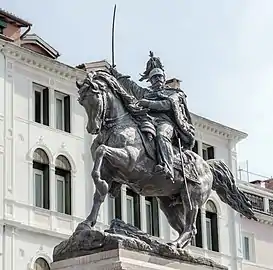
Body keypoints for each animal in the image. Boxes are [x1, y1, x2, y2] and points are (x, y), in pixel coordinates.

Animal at [76, 70, 255, 248]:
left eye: (95, 97)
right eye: (81, 101)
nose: (92, 128)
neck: (119, 125)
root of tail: (207, 166)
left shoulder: (129, 159)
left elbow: (101, 151)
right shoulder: (108, 170)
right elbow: (98, 194)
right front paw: (86, 223)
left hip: (193, 196)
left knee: (191, 224)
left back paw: (174, 244)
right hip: (169, 205)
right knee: (184, 227)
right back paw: (173, 245)